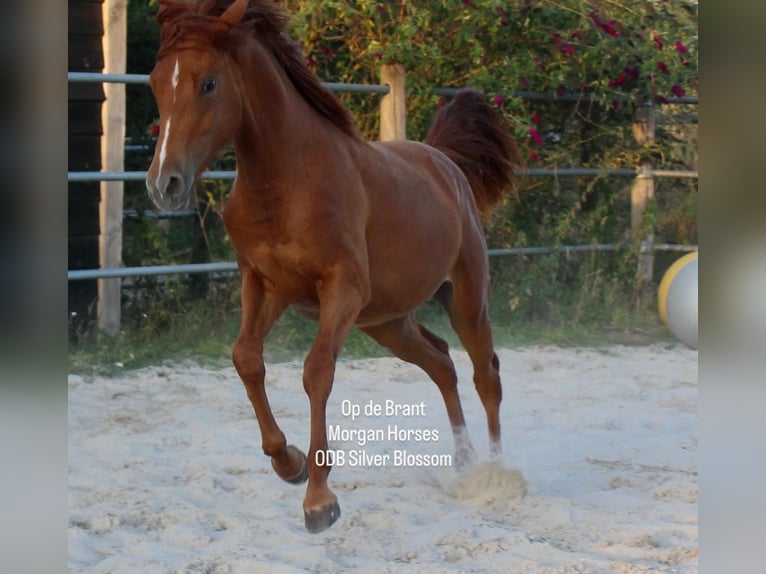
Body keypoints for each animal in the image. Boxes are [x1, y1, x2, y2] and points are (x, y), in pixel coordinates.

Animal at [145, 0, 523, 533]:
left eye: (209, 83)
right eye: (155, 83)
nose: (164, 185)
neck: (287, 183)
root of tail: (444, 161)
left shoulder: (341, 289)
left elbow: (316, 371)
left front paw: (319, 500)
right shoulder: (263, 284)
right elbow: (245, 358)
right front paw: (289, 464)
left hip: (466, 297)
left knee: (484, 373)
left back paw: (494, 472)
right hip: (387, 321)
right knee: (441, 362)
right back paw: (464, 461)